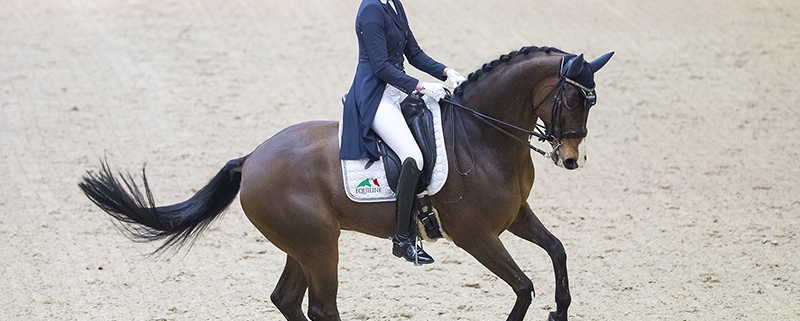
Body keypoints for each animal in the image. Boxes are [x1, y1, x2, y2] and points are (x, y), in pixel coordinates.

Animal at [79, 45, 612, 320]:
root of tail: (251, 159)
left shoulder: (515, 216)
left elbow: (557, 251)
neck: (483, 134)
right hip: (319, 245)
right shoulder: (477, 235)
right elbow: (523, 287)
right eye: (572, 99)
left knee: (288, 299)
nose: (571, 159)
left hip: (305, 244)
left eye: (592, 101)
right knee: (321, 307)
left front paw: (560, 311)